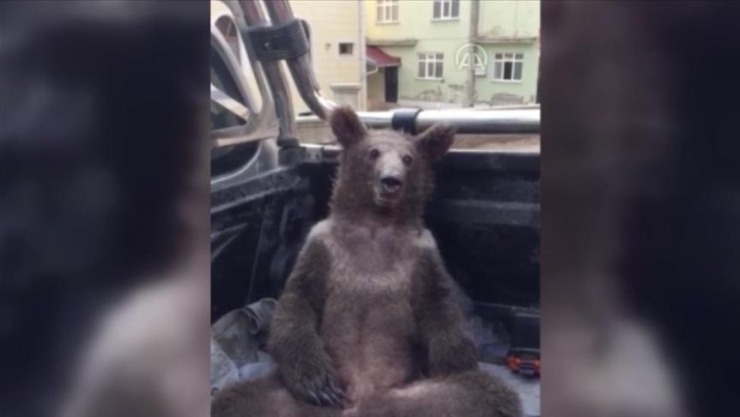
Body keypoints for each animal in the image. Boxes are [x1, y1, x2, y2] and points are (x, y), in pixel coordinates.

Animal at [211, 106, 523, 417]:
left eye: (408, 158)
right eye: (373, 152)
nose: (391, 181)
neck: (375, 226)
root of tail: (360, 402)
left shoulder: (421, 255)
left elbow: (438, 308)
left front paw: (453, 362)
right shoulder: (323, 247)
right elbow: (299, 302)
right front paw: (318, 382)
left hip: (421, 398)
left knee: (480, 393)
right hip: (288, 401)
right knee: (240, 399)